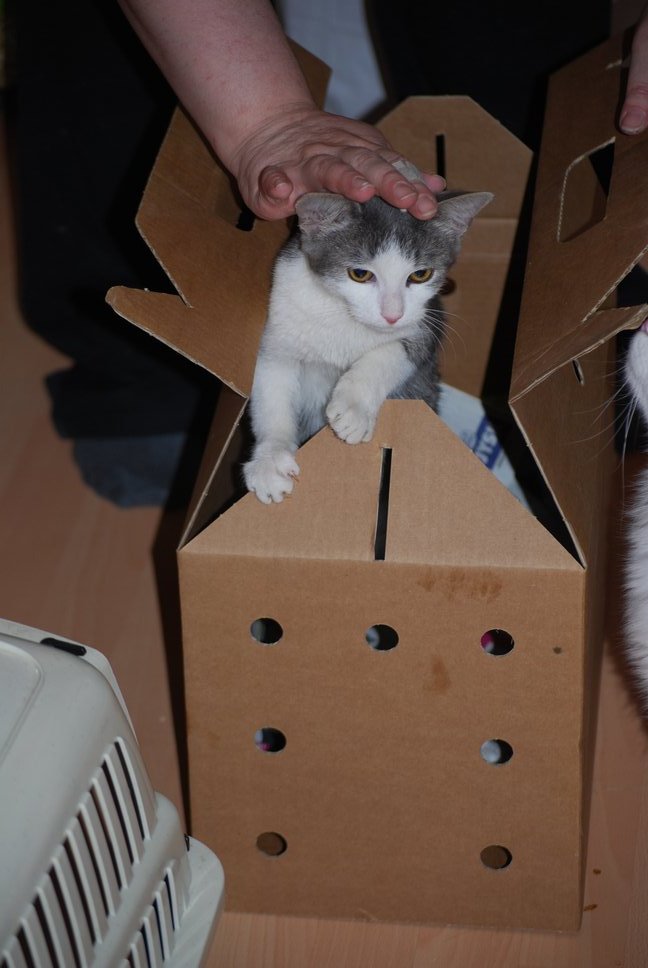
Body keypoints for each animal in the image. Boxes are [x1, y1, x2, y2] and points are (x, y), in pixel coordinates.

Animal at [243, 163, 493, 504]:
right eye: (359, 274)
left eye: (421, 274)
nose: (392, 314)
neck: (348, 319)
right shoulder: (281, 323)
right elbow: (271, 384)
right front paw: (270, 460)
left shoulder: (429, 322)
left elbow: (397, 351)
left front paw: (353, 407)